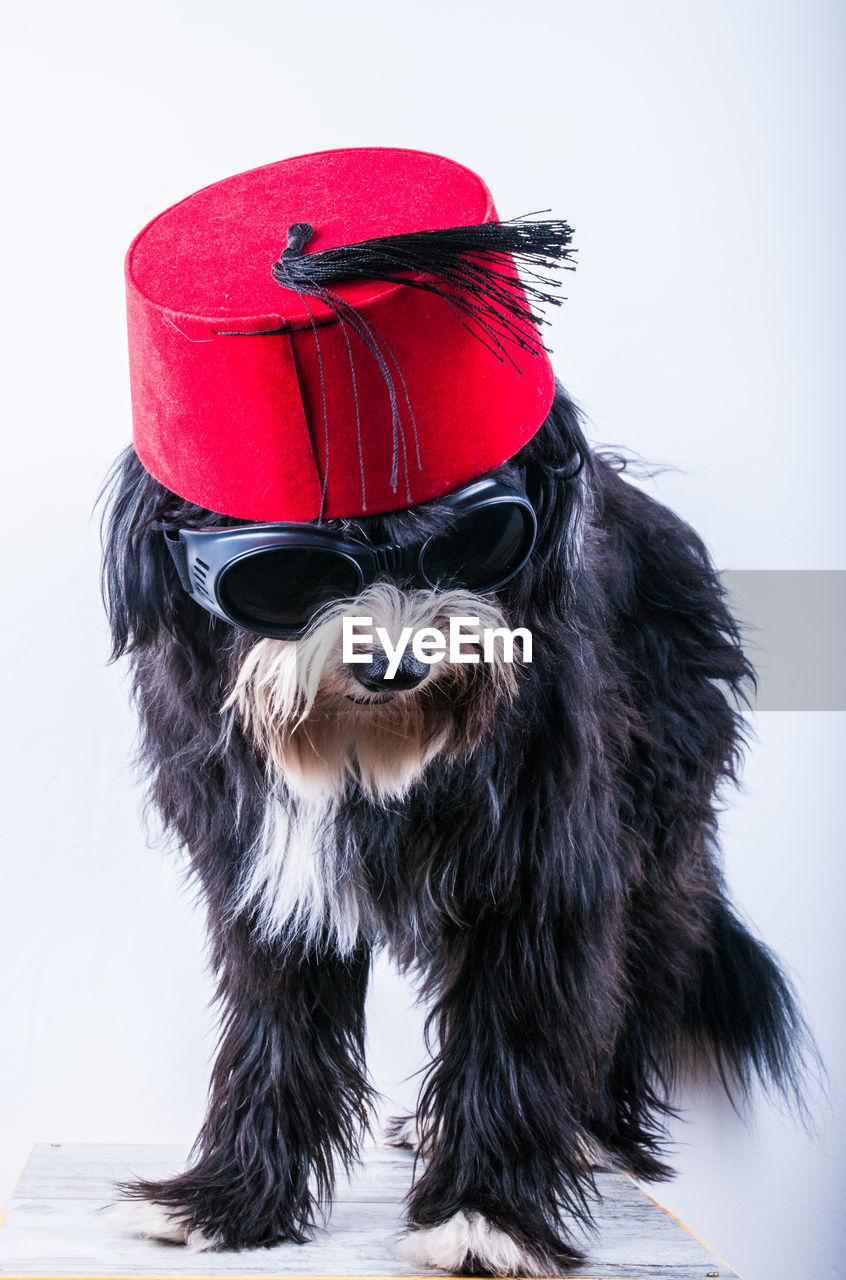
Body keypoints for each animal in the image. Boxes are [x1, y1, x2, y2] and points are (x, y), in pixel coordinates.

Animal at [100, 378, 803, 1269]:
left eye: (475, 536)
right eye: (285, 569)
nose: (394, 665)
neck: (367, 758)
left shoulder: (540, 873)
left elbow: (513, 1024)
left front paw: (486, 1213)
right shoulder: (263, 878)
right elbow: (273, 1031)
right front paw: (227, 1198)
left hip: (655, 821)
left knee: (637, 969)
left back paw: (589, 1127)